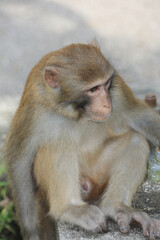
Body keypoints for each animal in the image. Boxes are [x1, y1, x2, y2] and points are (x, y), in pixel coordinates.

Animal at [4, 42, 160, 239]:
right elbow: (19, 159)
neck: (76, 111)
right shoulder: (33, 107)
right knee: (58, 142)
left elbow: (137, 115)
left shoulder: (117, 90)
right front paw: (32, 232)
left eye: (106, 84)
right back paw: (69, 208)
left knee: (135, 140)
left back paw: (117, 207)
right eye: (93, 89)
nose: (107, 103)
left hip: (98, 175)